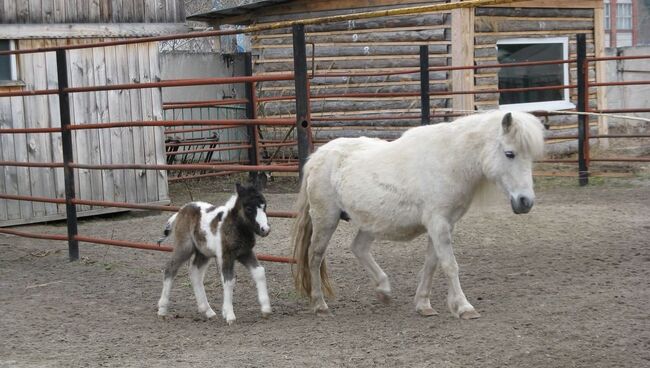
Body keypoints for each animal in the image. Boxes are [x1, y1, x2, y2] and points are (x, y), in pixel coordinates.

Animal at [156, 183, 270, 324]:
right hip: (184, 248)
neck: (235, 226)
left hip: (203, 253)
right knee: (170, 269)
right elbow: (229, 280)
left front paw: (266, 309)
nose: (265, 230)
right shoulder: (226, 255)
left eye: (264, 206)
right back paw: (162, 310)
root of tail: (180, 211)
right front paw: (229, 315)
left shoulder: (245, 253)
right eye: (249, 208)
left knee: (195, 273)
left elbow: (259, 272)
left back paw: (207, 311)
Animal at [292, 110, 544, 320]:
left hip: (370, 223)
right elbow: (449, 264)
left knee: (358, 248)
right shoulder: (439, 224)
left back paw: (383, 290)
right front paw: (464, 307)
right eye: (509, 154)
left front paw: (424, 304)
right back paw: (320, 304)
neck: (449, 161)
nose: (525, 201)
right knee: (315, 257)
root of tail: (317, 157)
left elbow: (432, 263)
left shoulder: (443, 225)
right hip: (326, 220)